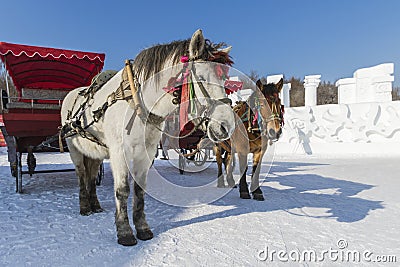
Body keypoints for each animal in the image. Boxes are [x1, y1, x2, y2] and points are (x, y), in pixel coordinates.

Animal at [61, 29, 236, 247]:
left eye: (225, 80)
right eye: (202, 78)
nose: (226, 126)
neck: (138, 102)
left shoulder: (147, 154)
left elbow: (139, 190)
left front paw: (142, 228)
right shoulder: (119, 153)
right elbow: (122, 190)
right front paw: (125, 231)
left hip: (96, 152)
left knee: (92, 175)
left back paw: (95, 205)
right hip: (74, 148)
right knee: (82, 175)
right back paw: (85, 206)